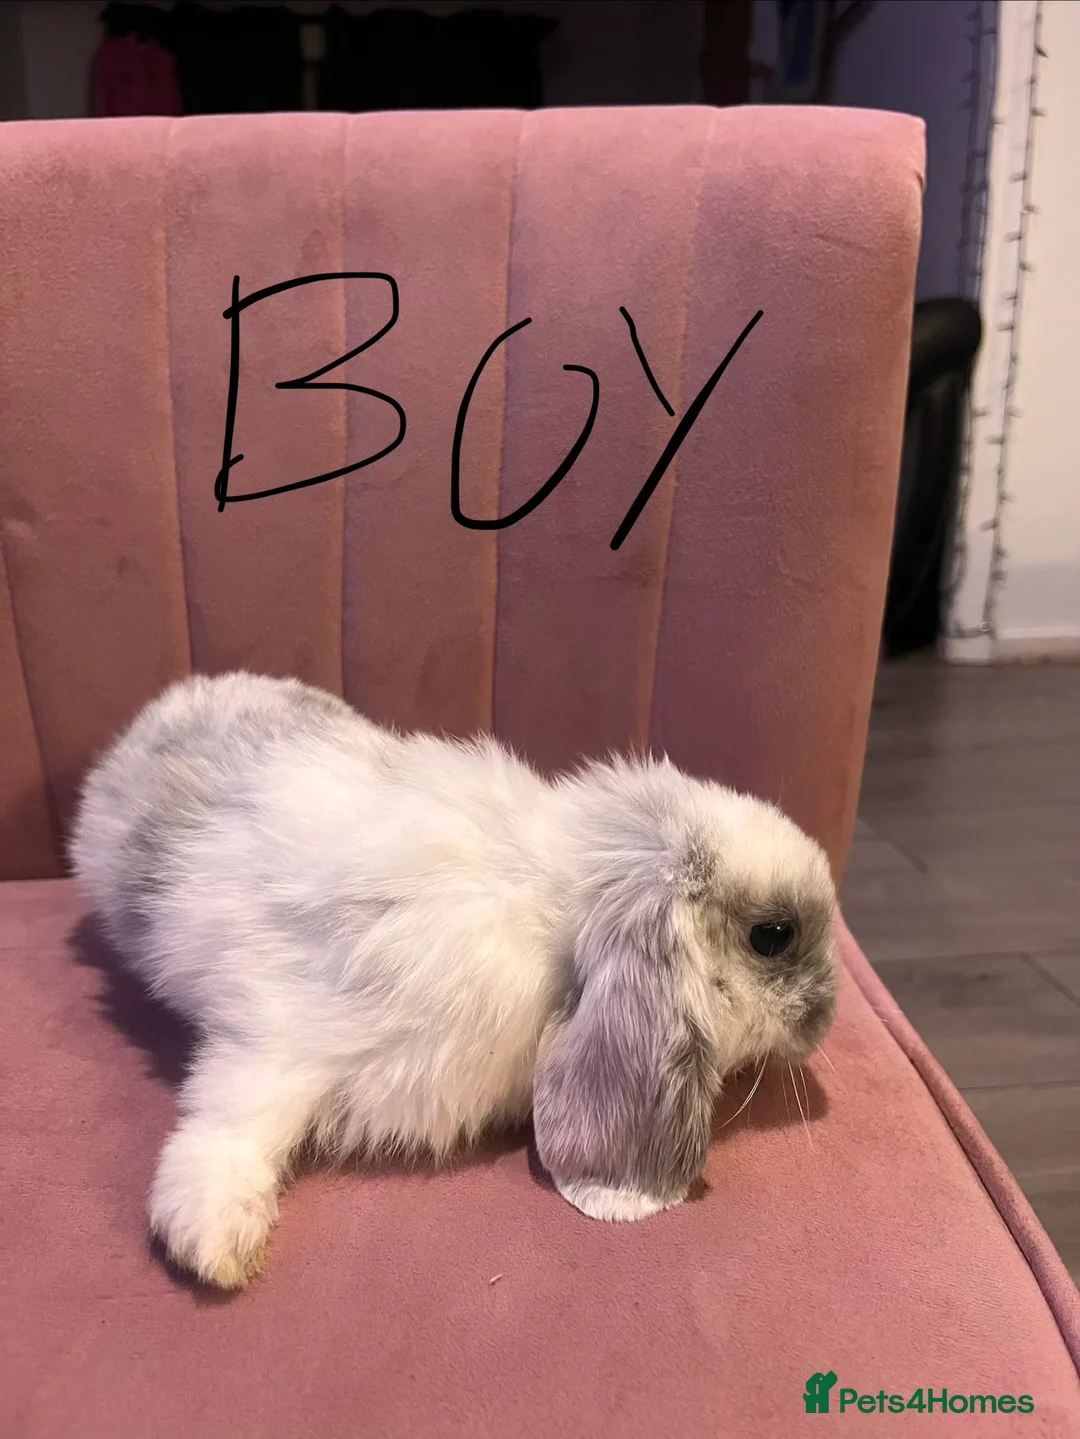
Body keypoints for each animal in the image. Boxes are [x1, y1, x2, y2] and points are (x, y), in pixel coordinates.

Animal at [69, 671, 839, 1289]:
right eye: (773, 936)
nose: (828, 1019)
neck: (556, 912)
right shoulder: (283, 1034)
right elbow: (235, 1118)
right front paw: (213, 1240)